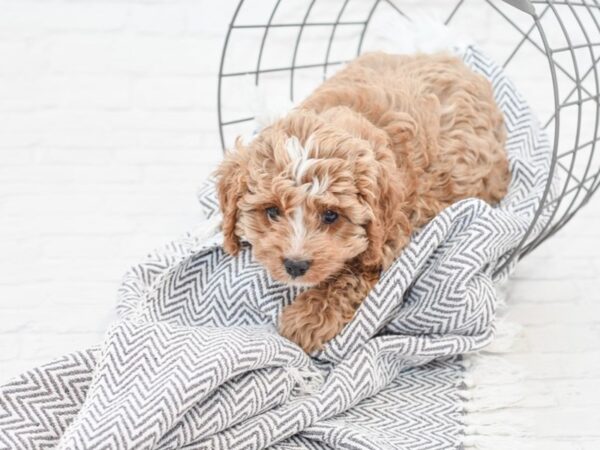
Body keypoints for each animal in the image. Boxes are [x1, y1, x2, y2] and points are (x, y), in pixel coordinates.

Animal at [218, 52, 508, 354]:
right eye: (272, 211)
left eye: (331, 215)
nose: (295, 266)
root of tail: (456, 62)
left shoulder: (390, 238)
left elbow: (352, 276)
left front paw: (307, 318)